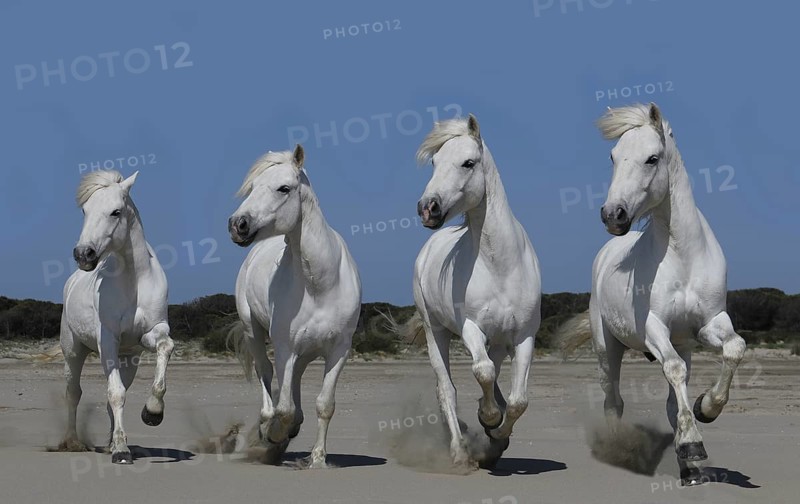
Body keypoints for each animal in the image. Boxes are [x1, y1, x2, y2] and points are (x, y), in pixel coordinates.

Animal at [59, 170, 175, 464]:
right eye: (85, 211)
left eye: (116, 212)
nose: (83, 254)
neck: (134, 281)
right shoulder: (108, 341)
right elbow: (115, 393)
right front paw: (122, 452)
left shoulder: (151, 333)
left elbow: (166, 347)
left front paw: (152, 413)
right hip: (73, 351)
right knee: (73, 393)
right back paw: (72, 442)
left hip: (128, 360)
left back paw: (111, 441)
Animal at [227, 144, 361, 468]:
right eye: (252, 188)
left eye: (284, 188)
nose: (238, 225)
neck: (320, 285)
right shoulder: (285, 346)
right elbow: (284, 408)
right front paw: (274, 434)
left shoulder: (339, 350)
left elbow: (325, 405)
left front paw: (318, 459)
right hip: (254, 332)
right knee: (265, 373)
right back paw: (268, 427)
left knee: (295, 380)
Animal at [404, 114, 542, 470]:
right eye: (435, 162)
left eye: (469, 163)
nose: (428, 208)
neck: (500, 266)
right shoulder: (471, 328)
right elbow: (483, 372)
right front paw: (489, 418)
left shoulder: (524, 335)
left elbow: (519, 400)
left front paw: (496, 432)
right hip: (435, 332)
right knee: (446, 390)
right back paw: (459, 451)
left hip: (499, 340)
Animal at [559, 103, 746, 486]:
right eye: (613, 156)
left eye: (652, 158)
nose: (612, 215)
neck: (683, 255)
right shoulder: (654, 328)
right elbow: (673, 369)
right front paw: (693, 444)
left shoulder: (709, 324)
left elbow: (734, 349)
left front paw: (706, 409)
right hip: (607, 349)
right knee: (613, 401)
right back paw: (619, 450)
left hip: (684, 344)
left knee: (673, 400)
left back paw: (689, 470)